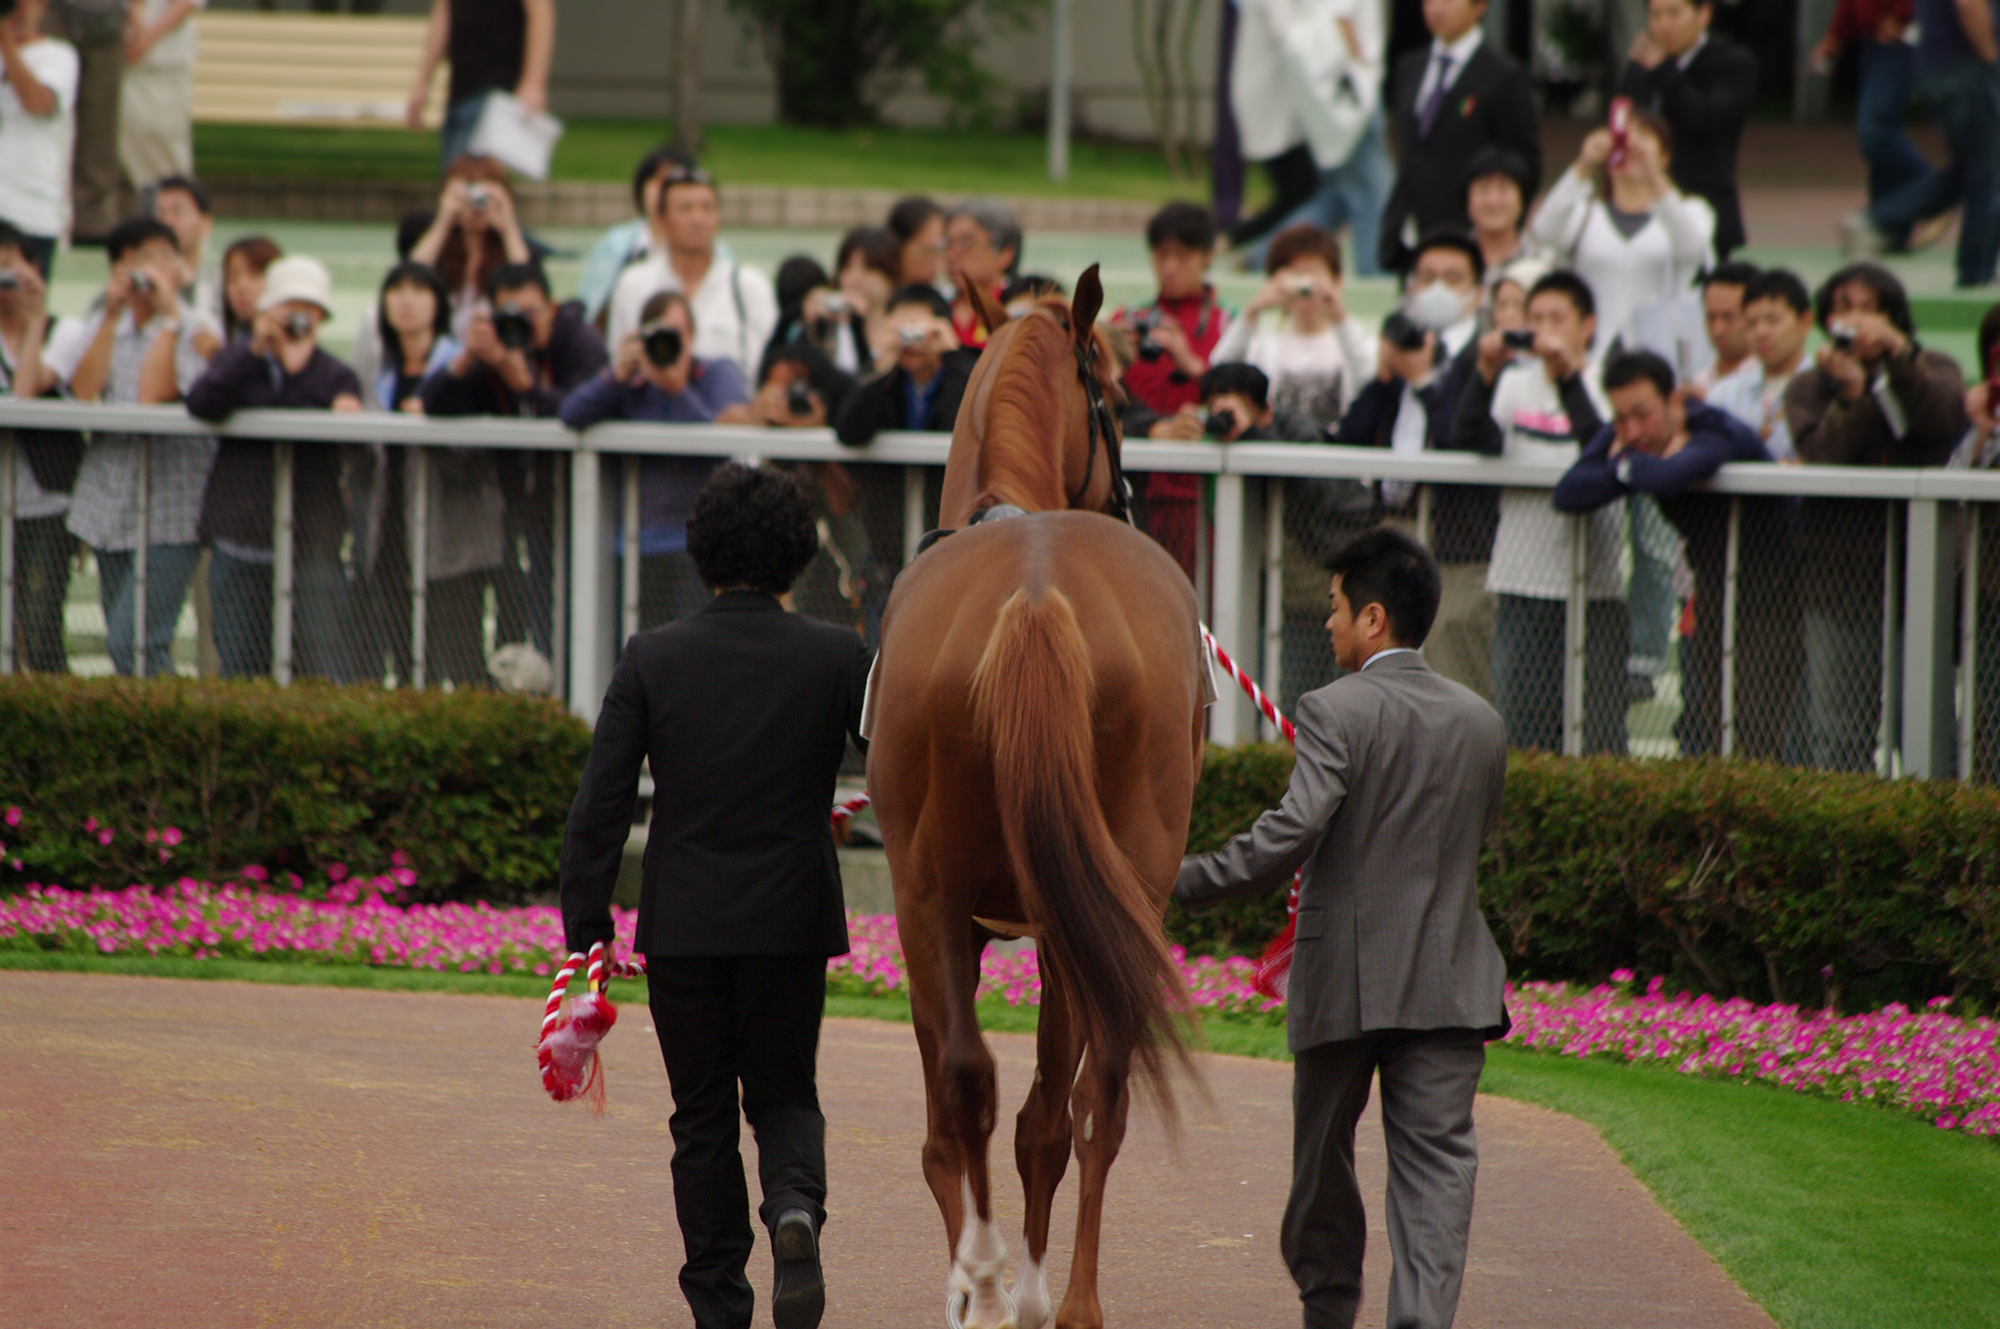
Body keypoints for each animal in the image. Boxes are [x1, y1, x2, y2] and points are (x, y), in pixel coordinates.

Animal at [872, 270, 1200, 1329]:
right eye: (1116, 389)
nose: (1131, 496)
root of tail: (1035, 590)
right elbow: (1039, 1114)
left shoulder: (953, 911)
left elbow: (965, 1117)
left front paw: (981, 1283)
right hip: (1094, 898)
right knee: (1084, 1097)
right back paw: (1058, 1295)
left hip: (935, 896)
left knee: (981, 1093)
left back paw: (990, 1280)